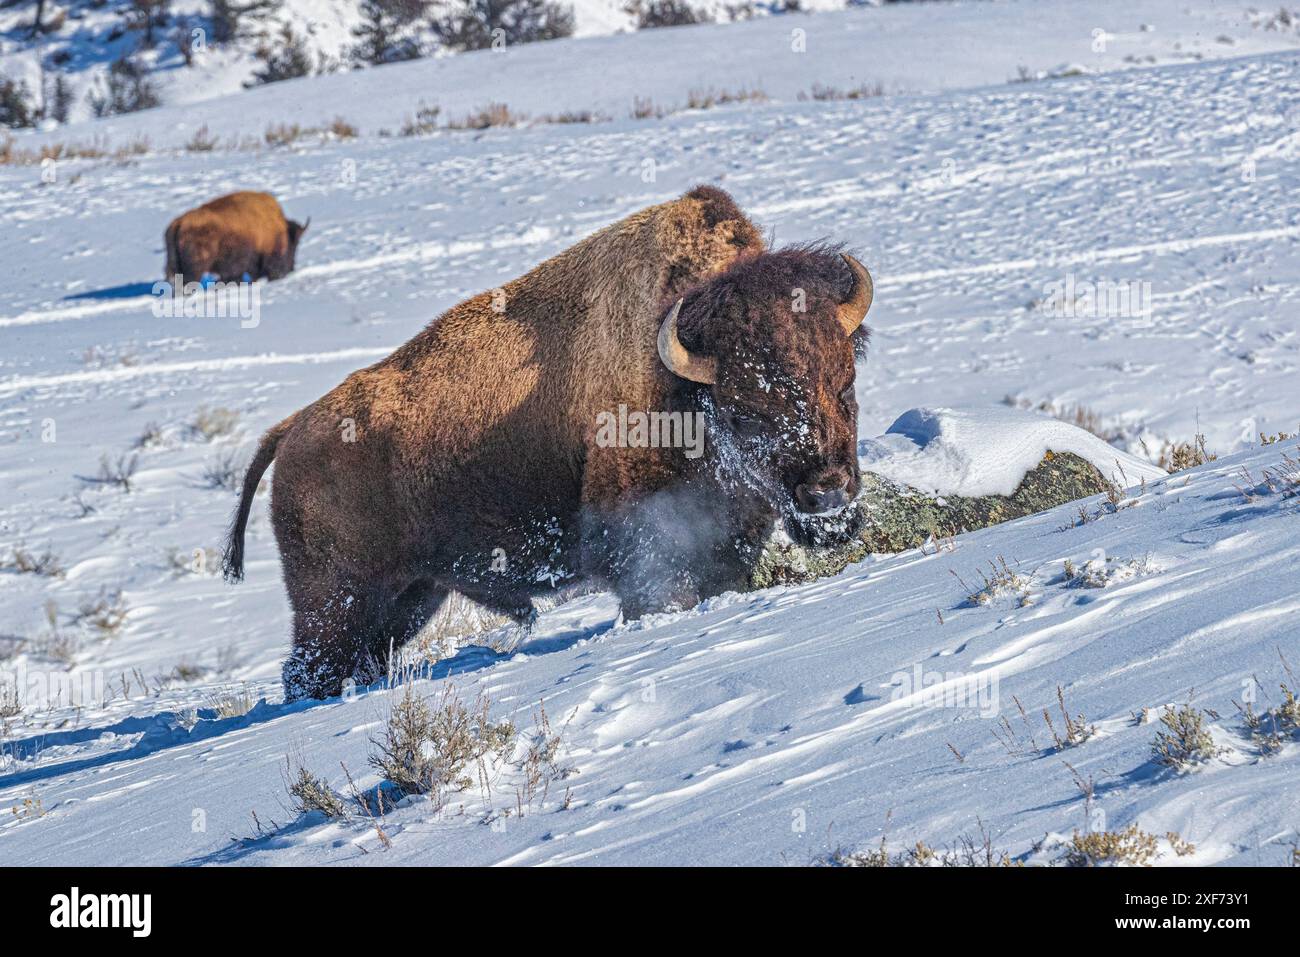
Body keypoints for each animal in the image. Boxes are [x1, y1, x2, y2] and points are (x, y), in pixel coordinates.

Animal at [223, 187, 873, 696]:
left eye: (846, 382)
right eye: (744, 413)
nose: (827, 493)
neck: (683, 386)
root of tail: (292, 428)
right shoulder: (647, 552)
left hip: (409, 596)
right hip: (337, 601)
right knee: (309, 670)